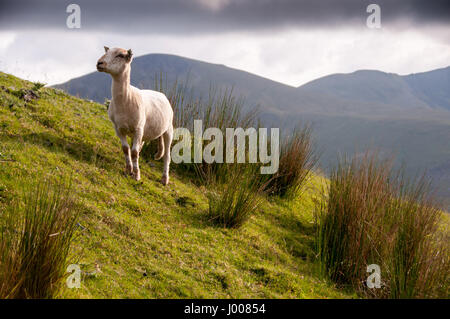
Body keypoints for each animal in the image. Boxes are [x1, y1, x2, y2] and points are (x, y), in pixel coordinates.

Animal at [97, 47, 173, 185]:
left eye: (120, 55)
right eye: (107, 52)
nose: (99, 63)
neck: (125, 100)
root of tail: (160, 93)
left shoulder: (138, 129)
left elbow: (134, 152)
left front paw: (136, 176)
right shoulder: (118, 128)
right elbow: (126, 149)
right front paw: (129, 170)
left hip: (168, 129)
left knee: (166, 156)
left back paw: (165, 179)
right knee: (140, 149)